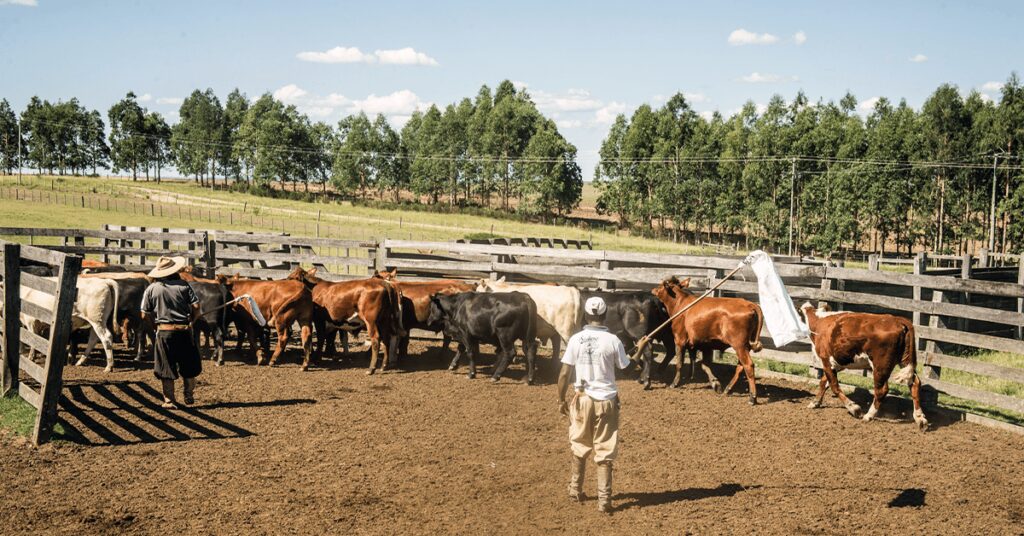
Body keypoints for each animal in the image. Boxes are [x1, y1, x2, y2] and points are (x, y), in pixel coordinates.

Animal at [794, 303, 933, 430]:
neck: (819, 323)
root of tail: (899, 320)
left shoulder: (826, 360)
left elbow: (834, 386)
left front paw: (853, 408)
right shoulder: (837, 363)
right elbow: (824, 382)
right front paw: (815, 402)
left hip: (880, 366)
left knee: (881, 390)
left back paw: (868, 415)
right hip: (905, 361)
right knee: (914, 383)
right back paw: (920, 418)